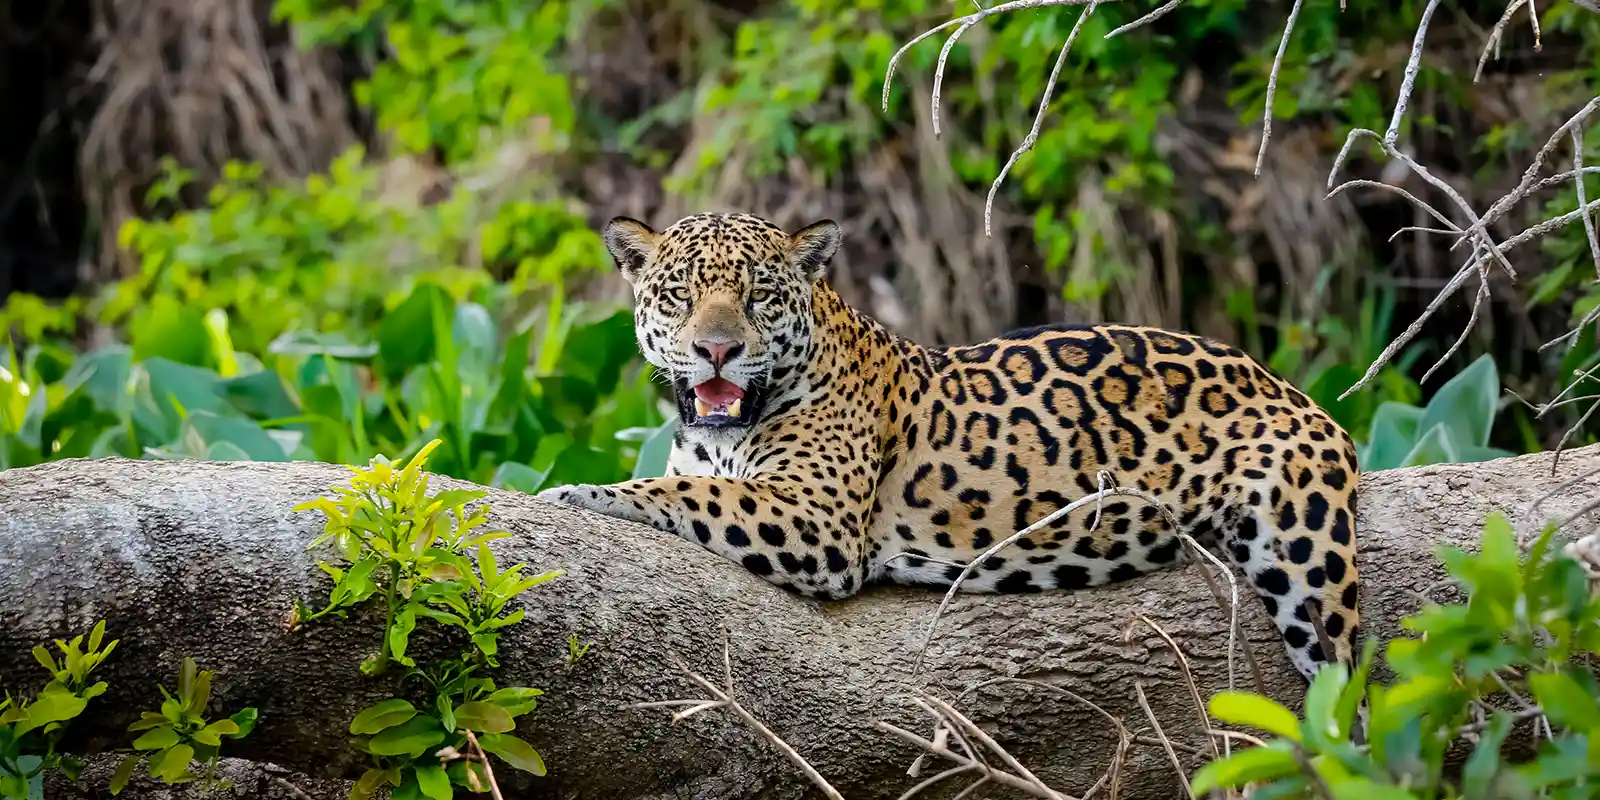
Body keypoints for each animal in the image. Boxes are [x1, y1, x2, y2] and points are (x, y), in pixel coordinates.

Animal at [536, 211, 1361, 683]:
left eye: (759, 298)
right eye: (679, 295)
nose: (716, 351)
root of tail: (1287, 383)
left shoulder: (819, 521)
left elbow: (687, 492)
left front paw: (578, 493)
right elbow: (688, 482)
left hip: (1307, 557)